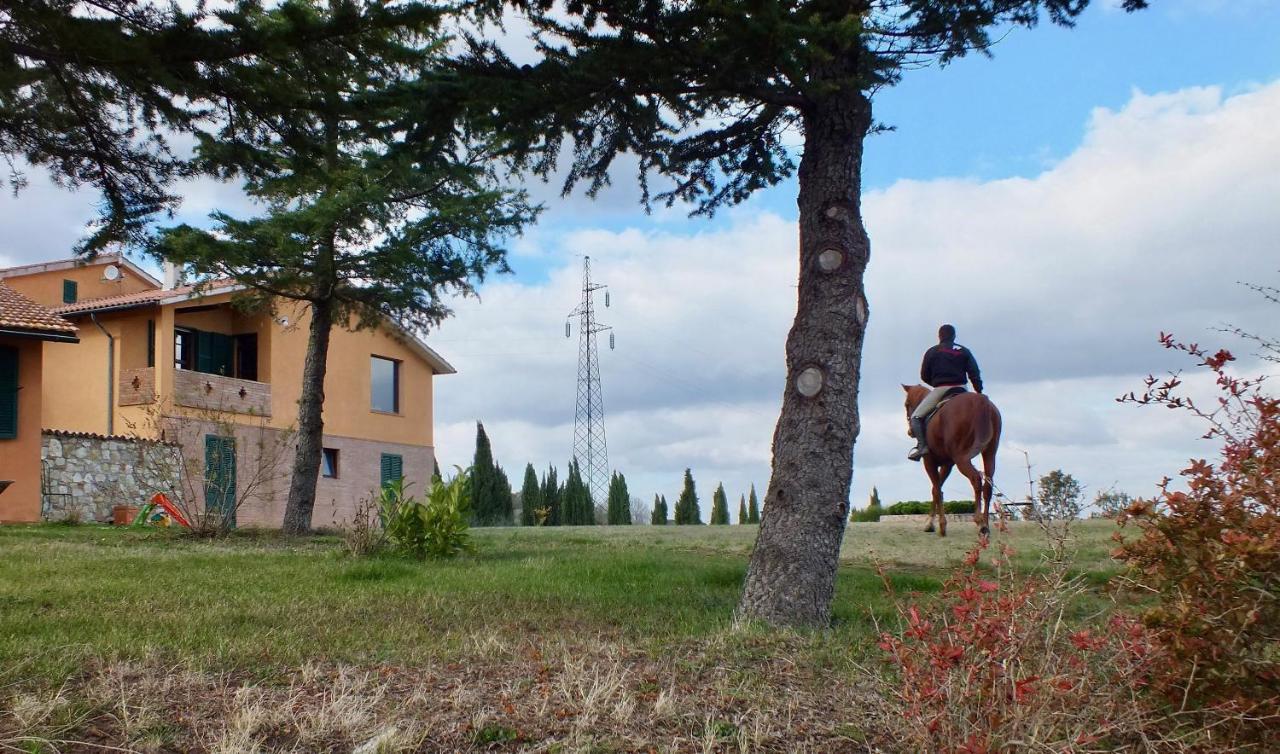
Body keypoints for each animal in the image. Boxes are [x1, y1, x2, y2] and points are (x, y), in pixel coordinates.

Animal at [901, 384, 998, 537]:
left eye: (906, 404)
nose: (910, 432)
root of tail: (981, 402)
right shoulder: (947, 465)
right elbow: (936, 489)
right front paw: (930, 523)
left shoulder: (929, 462)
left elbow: (937, 489)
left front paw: (939, 526)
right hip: (989, 454)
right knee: (987, 486)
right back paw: (986, 525)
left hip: (961, 458)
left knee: (976, 479)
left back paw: (980, 522)